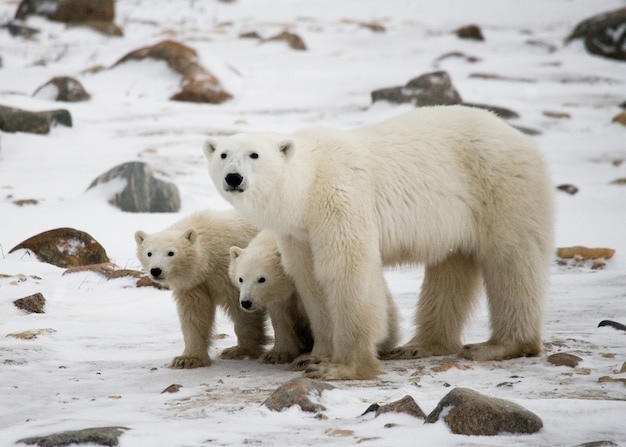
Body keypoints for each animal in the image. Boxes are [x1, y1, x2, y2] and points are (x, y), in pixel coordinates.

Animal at [205, 106, 552, 382]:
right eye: (223, 154)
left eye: (254, 154)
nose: (234, 178)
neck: (309, 184)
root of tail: (518, 136)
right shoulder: (299, 232)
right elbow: (311, 281)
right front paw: (314, 355)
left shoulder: (340, 198)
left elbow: (347, 270)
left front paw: (342, 367)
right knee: (451, 266)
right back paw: (420, 346)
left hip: (500, 184)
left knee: (511, 259)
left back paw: (500, 345)